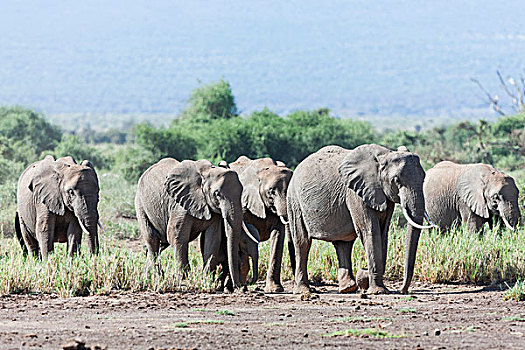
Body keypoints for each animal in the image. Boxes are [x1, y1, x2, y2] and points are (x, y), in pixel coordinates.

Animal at [134, 158, 247, 288]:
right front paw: (184, 282)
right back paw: (157, 279)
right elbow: (176, 236)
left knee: (160, 244)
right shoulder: (180, 205)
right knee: (152, 240)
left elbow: (213, 239)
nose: (238, 286)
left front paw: (206, 281)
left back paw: (147, 279)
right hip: (140, 205)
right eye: (217, 194)